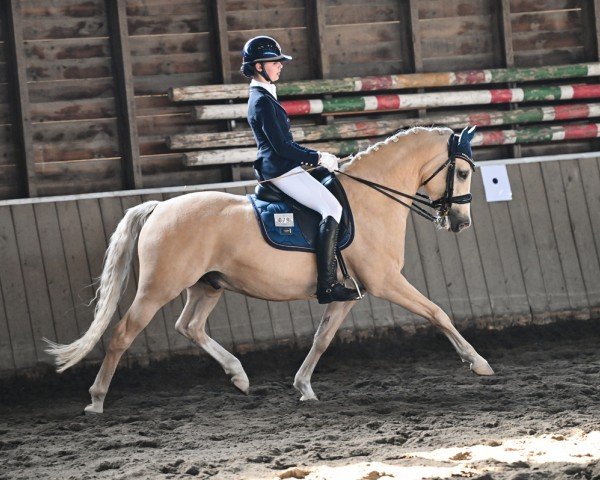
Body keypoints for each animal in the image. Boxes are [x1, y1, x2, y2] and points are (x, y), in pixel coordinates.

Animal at [47, 126, 494, 412]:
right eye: (463, 171)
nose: (460, 222)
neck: (370, 199)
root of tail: (160, 207)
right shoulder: (386, 282)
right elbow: (438, 313)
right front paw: (479, 363)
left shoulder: (348, 294)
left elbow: (321, 339)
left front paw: (304, 388)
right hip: (159, 288)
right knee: (124, 333)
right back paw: (96, 400)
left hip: (207, 286)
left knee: (189, 326)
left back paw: (239, 376)